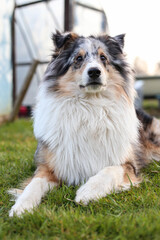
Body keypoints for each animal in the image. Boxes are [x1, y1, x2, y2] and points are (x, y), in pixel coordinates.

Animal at [8, 31, 160, 217]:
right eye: (78, 58)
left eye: (103, 57)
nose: (94, 71)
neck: (90, 107)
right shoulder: (47, 168)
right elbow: (32, 186)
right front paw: (21, 207)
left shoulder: (128, 165)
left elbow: (109, 170)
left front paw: (88, 191)